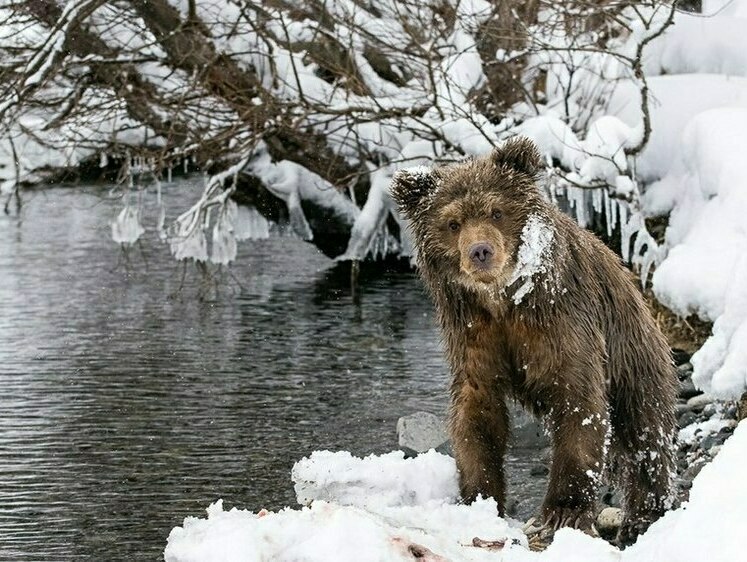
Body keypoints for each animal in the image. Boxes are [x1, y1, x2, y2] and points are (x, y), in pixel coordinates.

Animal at [394, 136, 680, 544]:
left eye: (496, 212)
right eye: (452, 222)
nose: (480, 251)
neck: (502, 300)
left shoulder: (562, 322)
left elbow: (579, 404)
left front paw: (561, 512)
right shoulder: (474, 336)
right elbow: (477, 412)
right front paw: (479, 497)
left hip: (634, 354)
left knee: (645, 434)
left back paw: (643, 516)